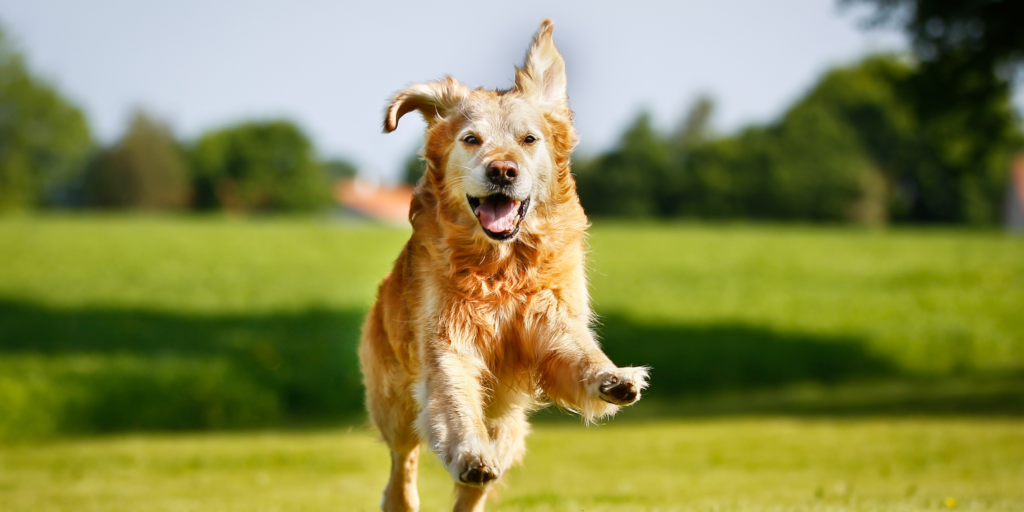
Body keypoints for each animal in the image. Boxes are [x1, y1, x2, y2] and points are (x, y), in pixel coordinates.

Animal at [360, 19, 647, 512]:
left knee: (473, 489)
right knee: (403, 461)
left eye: (528, 139)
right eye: (471, 139)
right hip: (396, 403)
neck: (502, 267)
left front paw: (611, 377)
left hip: (510, 428)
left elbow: (579, 352)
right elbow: (456, 402)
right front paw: (470, 453)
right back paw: (406, 496)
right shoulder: (447, 341)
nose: (502, 171)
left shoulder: (550, 319)